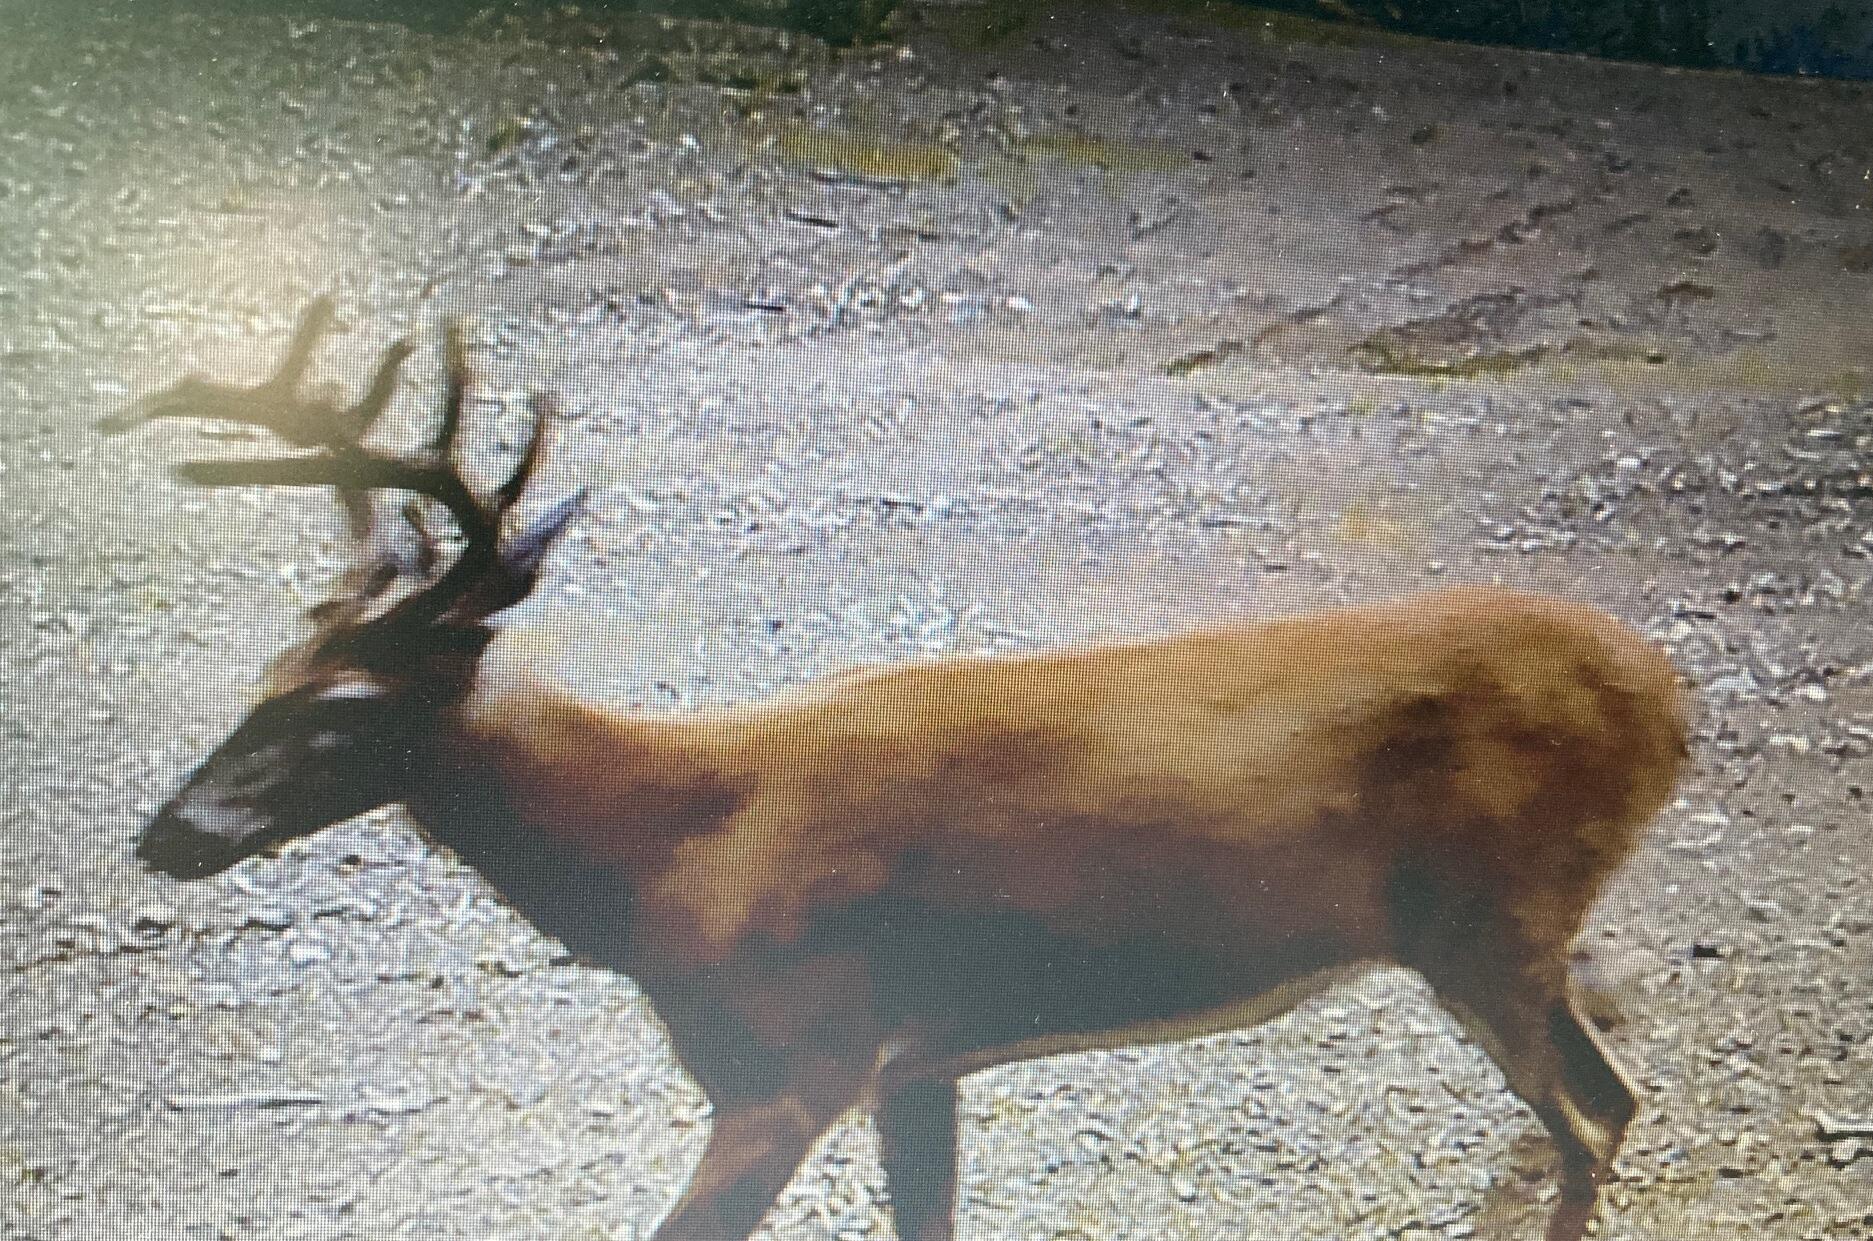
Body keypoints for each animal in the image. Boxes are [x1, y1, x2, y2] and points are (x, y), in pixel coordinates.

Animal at [124, 299, 1691, 1241]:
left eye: (337, 711)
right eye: (263, 674)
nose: (167, 833)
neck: (666, 855)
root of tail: (1668, 698)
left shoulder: (792, 1059)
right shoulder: (916, 1060)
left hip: (1485, 921)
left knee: (1588, 1121)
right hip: (1495, 935)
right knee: (1606, 1104)